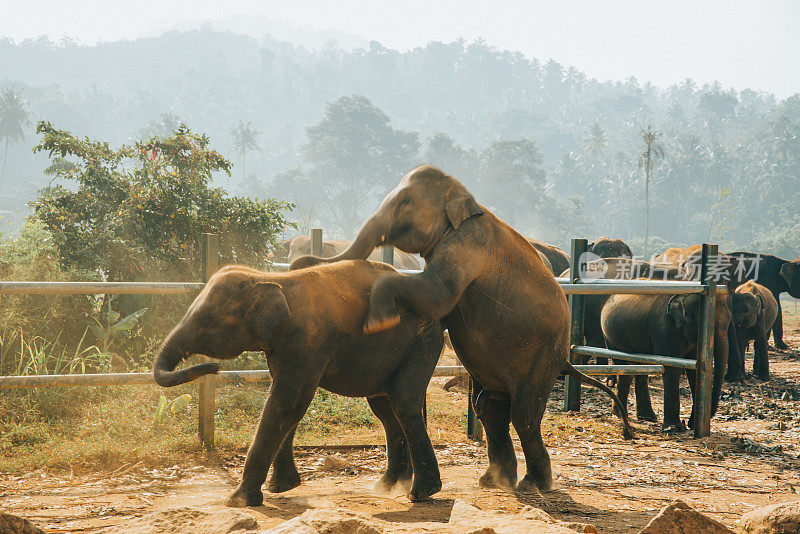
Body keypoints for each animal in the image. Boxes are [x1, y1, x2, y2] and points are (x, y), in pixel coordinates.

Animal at [153, 262, 446, 508]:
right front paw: (281, 487)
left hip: (423, 343)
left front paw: (238, 501)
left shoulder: (306, 340)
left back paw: (420, 492)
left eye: (205, 321)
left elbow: (288, 401)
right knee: (385, 409)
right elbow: (290, 404)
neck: (269, 279)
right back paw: (388, 486)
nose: (214, 368)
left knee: (403, 403)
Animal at [604, 292, 736, 434]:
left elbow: (694, 370)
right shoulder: (664, 329)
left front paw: (692, 424)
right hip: (611, 340)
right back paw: (620, 415)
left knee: (640, 369)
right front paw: (675, 428)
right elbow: (671, 369)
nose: (689, 422)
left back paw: (648, 417)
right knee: (624, 370)